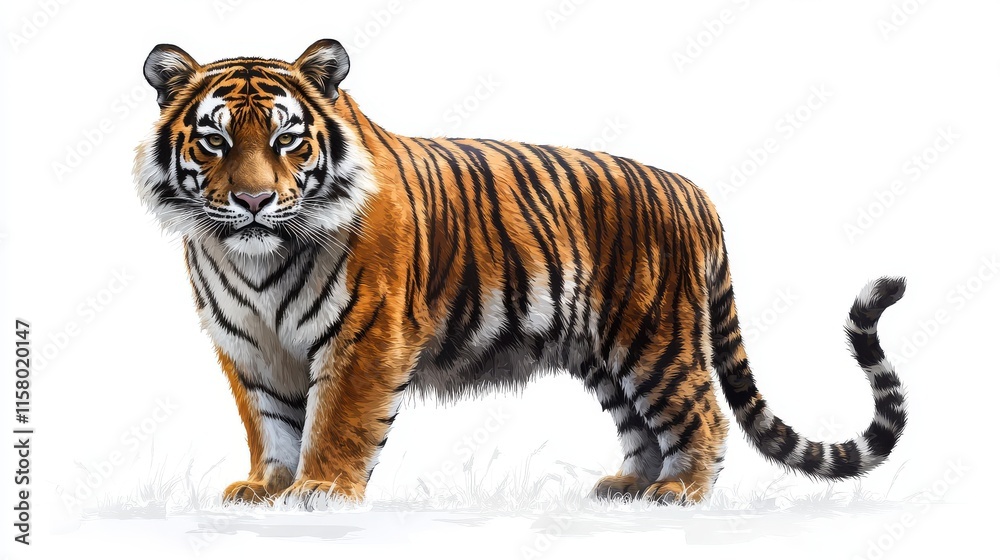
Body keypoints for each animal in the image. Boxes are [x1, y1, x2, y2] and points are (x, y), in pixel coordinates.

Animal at [133, 39, 908, 506]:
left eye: (288, 140)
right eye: (214, 141)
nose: (254, 200)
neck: (254, 258)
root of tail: (693, 192)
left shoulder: (366, 337)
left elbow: (336, 422)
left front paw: (319, 491)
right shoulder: (249, 346)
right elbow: (270, 423)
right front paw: (268, 490)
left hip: (655, 339)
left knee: (702, 413)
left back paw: (680, 491)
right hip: (606, 354)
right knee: (641, 425)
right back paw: (627, 484)